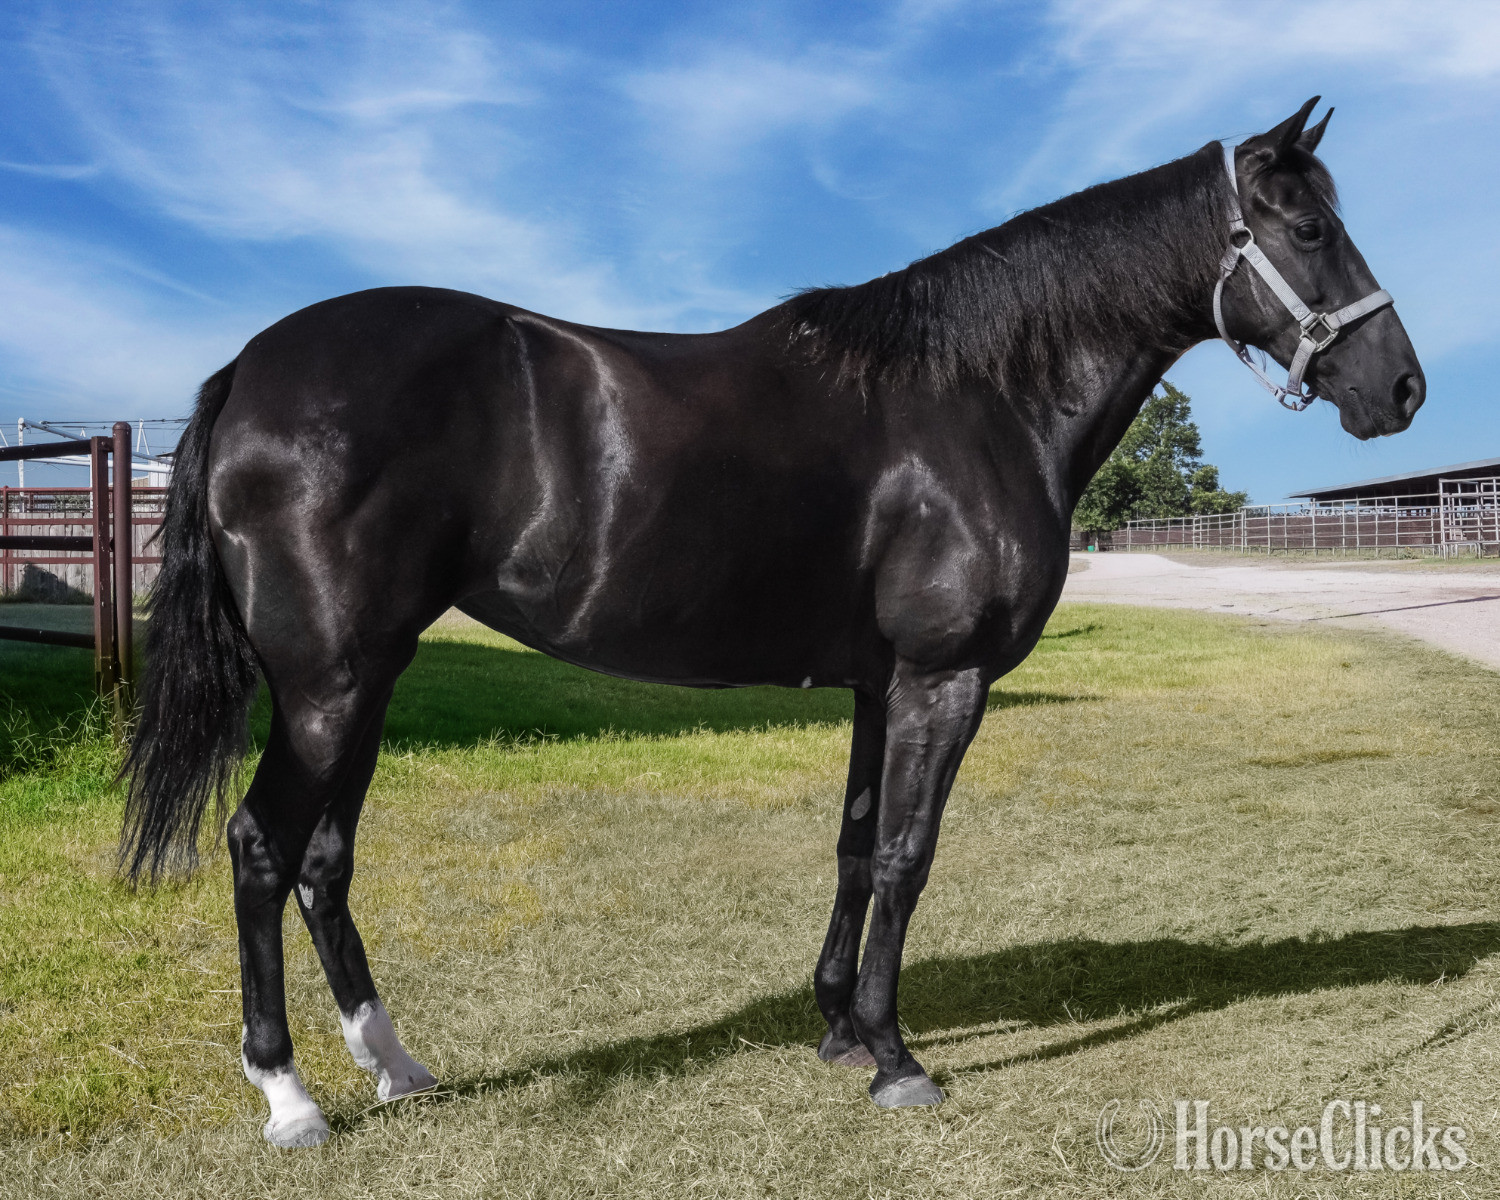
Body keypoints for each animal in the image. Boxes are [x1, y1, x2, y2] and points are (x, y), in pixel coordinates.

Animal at [122, 98, 1423, 1147]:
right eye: (1311, 229)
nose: (1402, 389)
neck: (978, 395)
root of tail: (251, 368)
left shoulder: (878, 684)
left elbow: (854, 848)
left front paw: (841, 1028)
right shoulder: (945, 679)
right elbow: (906, 855)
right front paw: (896, 1060)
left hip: (365, 676)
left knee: (324, 859)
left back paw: (396, 1065)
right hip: (330, 683)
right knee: (261, 847)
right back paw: (291, 1098)